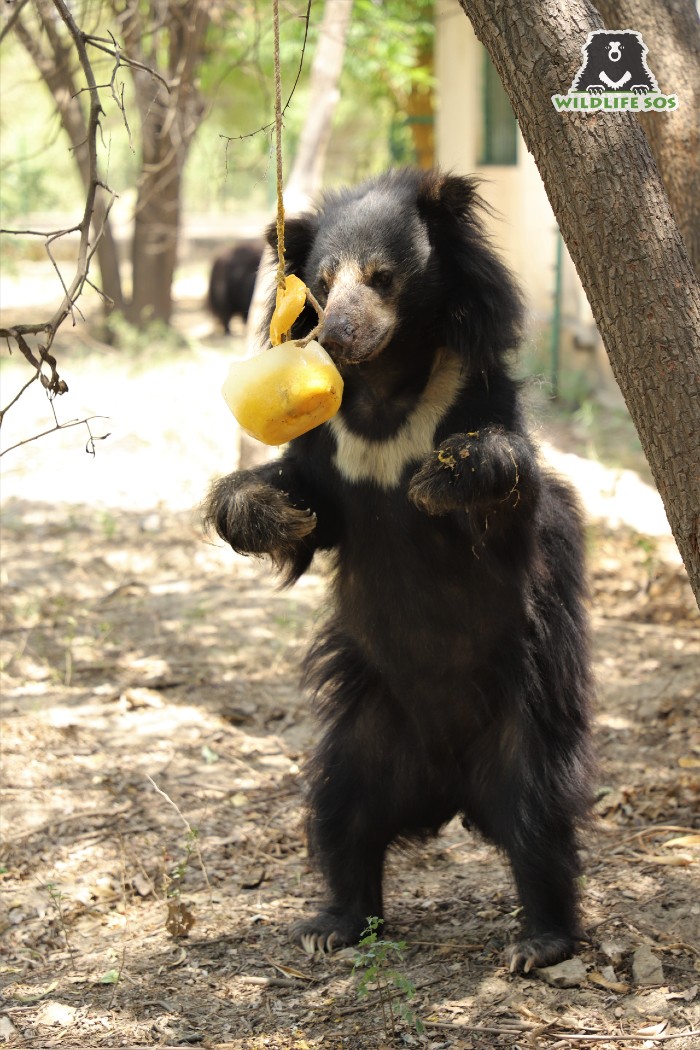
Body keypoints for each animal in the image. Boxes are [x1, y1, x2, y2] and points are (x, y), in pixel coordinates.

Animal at [205, 168, 596, 970]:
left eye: (382, 278)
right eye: (323, 283)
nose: (334, 336)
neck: (385, 389)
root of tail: (451, 783)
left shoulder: (473, 398)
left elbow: (503, 501)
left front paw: (444, 479)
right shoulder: (330, 445)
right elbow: (310, 504)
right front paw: (260, 510)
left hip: (525, 718)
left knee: (540, 816)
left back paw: (538, 941)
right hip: (369, 731)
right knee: (342, 812)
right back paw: (333, 924)